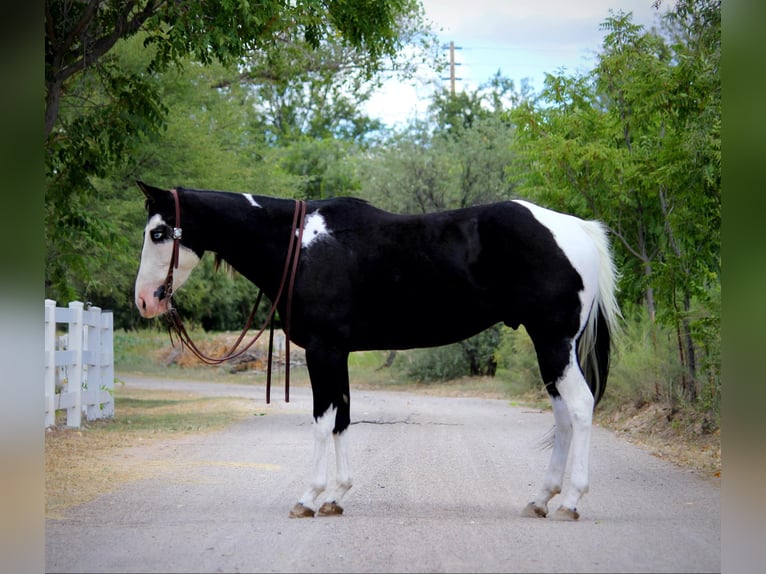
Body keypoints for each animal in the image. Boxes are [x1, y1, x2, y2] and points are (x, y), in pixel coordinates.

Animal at [134, 181, 621, 521]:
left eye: (159, 232)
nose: (145, 301)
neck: (301, 245)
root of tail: (578, 229)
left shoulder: (323, 351)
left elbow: (322, 421)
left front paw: (309, 497)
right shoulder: (339, 354)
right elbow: (343, 419)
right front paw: (335, 497)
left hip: (554, 343)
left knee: (579, 408)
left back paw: (570, 502)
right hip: (552, 348)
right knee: (563, 417)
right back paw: (540, 500)